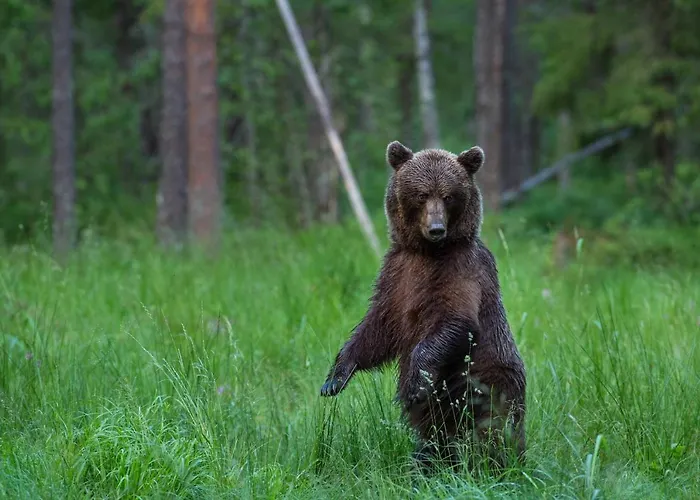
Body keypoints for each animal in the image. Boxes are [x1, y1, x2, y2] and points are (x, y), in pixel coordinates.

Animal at [320, 140, 526, 471]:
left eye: (449, 195)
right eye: (421, 194)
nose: (437, 228)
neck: (428, 252)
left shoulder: (461, 271)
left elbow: (456, 321)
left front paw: (414, 384)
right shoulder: (397, 275)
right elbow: (376, 329)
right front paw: (335, 378)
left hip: (484, 382)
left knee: (492, 426)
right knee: (435, 436)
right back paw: (425, 463)